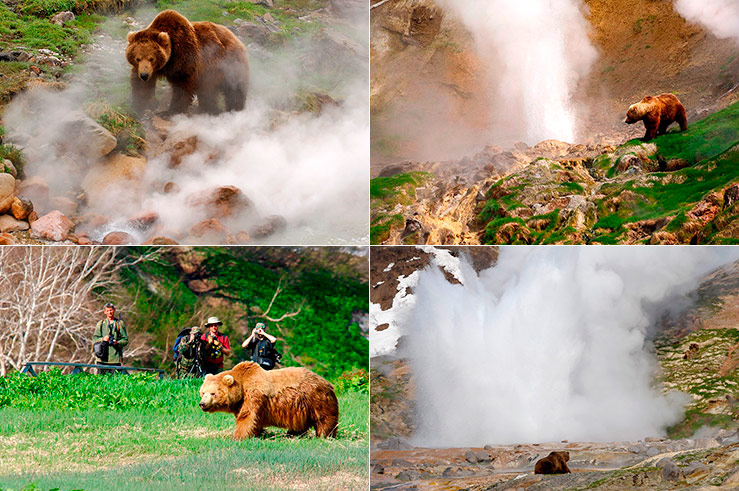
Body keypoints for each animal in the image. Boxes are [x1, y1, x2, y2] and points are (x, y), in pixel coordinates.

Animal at [198, 364, 340, 440]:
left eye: (213, 393)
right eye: (203, 392)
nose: (202, 404)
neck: (242, 386)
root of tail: (327, 382)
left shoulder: (254, 394)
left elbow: (247, 416)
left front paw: (239, 436)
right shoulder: (241, 403)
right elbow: (253, 420)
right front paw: (258, 433)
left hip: (316, 398)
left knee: (324, 419)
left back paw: (324, 435)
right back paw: (293, 434)